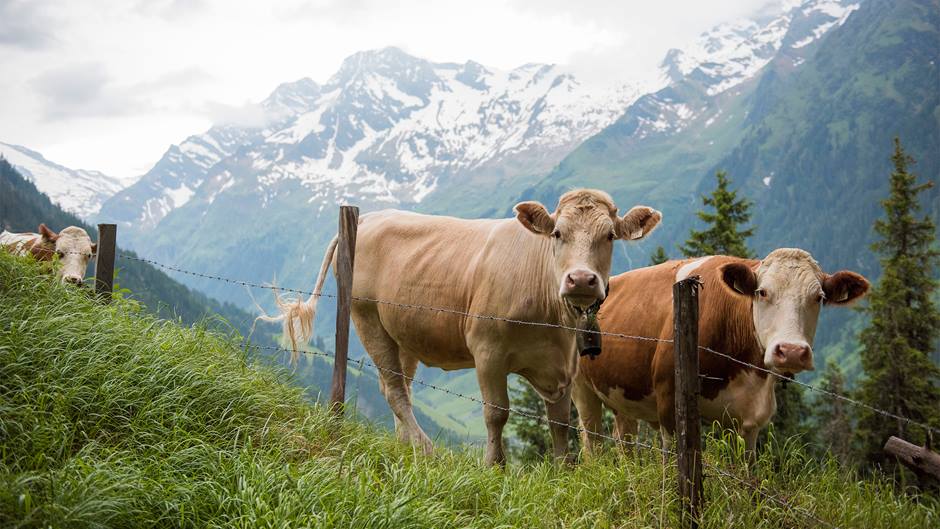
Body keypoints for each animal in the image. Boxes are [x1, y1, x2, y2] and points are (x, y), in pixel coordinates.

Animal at [262, 190, 660, 462]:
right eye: (558, 234)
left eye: (609, 236)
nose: (580, 279)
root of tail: (370, 217)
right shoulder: (487, 350)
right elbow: (496, 413)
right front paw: (495, 466)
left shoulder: (562, 363)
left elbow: (561, 421)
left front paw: (564, 470)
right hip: (366, 317)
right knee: (395, 391)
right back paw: (426, 449)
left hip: (402, 333)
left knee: (397, 387)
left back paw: (405, 447)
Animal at [576, 249, 872, 454]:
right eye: (762, 292)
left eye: (819, 298)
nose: (791, 351)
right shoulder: (669, 400)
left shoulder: (749, 419)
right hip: (582, 389)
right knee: (592, 442)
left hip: (621, 394)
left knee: (624, 440)